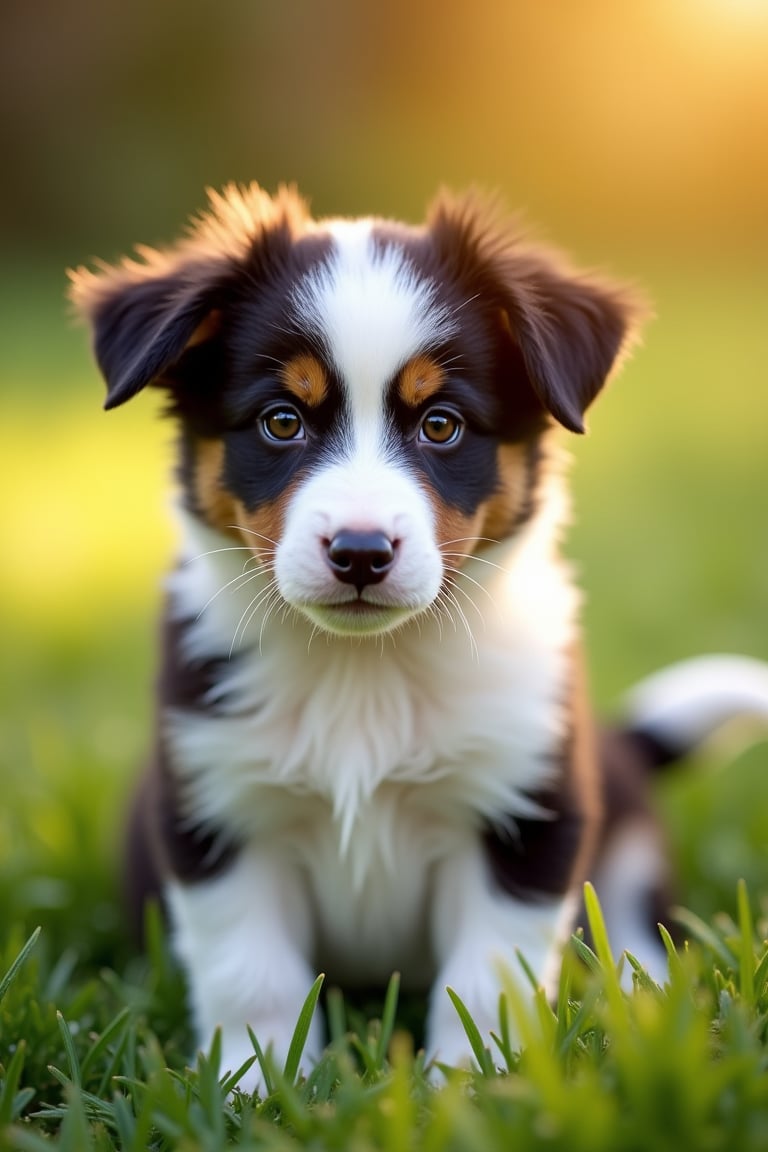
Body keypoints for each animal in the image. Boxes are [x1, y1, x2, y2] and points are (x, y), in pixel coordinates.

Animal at [70, 186, 768, 1087]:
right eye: (281, 421)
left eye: (441, 425)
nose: (361, 553)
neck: (364, 670)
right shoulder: (217, 806)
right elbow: (251, 973)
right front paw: (258, 1087)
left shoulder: (525, 809)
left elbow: (488, 979)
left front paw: (472, 1087)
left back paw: (639, 998)